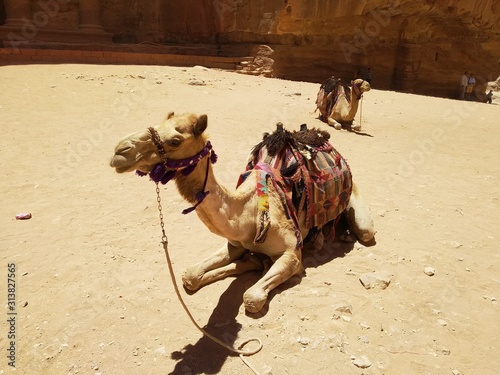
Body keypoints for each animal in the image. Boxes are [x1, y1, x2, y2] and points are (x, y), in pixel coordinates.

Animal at [110, 112, 376, 314]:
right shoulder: (234, 243)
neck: (250, 214)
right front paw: (250, 262)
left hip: (359, 213)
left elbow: (251, 297)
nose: (119, 151)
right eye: (156, 125)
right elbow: (190, 275)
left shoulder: (292, 254)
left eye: (175, 140)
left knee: (364, 230)